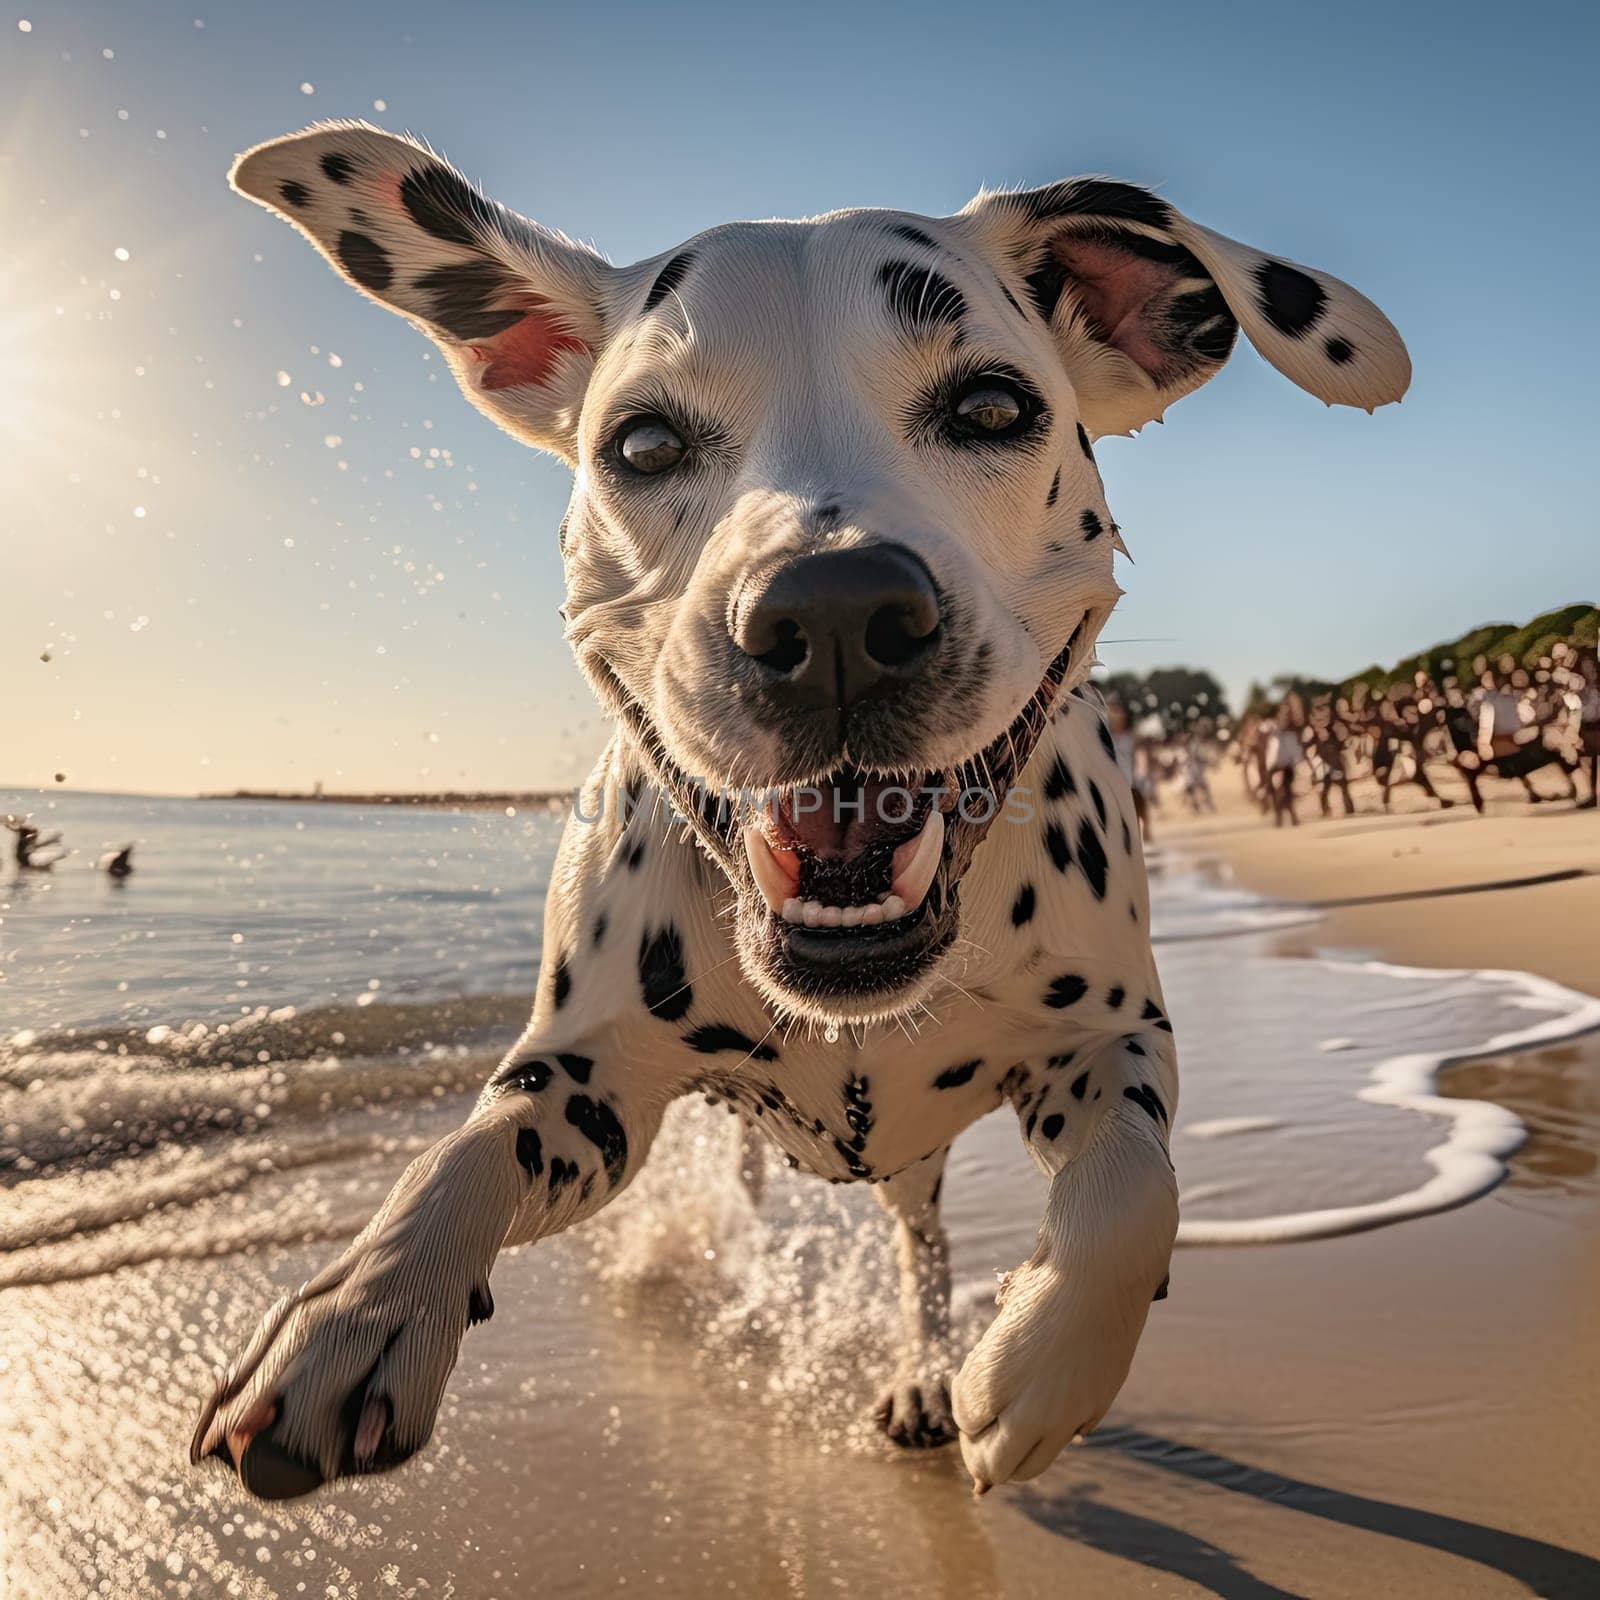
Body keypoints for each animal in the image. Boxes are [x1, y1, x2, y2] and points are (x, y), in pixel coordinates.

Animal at [190, 121, 1414, 1497]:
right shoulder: (585, 1082)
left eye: (992, 406)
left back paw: (934, 1371)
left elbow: (1129, 1188)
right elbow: (467, 1148)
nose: (833, 614)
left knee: (924, 1253)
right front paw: (359, 1311)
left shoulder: (1107, 1041)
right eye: (644, 444)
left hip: (919, 1174)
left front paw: (1041, 1365)